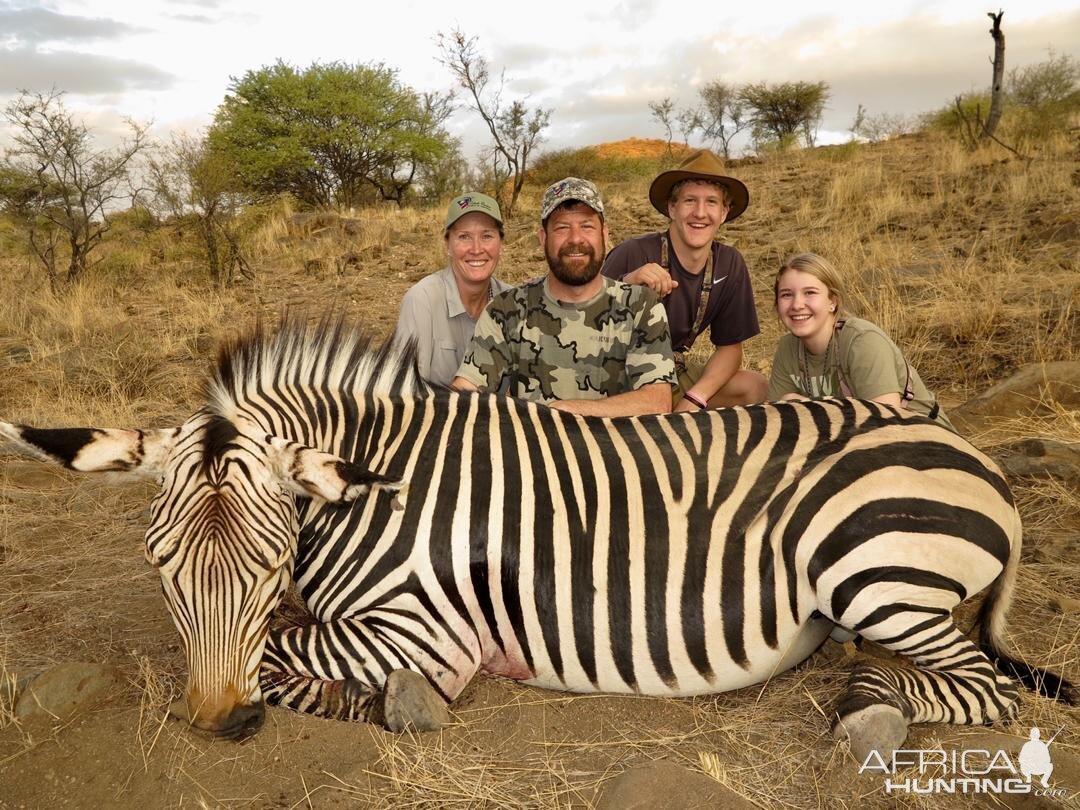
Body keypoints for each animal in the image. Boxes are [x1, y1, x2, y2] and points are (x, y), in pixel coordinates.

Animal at [2, 317, 1071, 760]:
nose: (221, 726)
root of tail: (966, 450)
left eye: (268, 562)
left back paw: (870, 711)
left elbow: (281, 653)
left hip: (868, 568)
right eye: (162, 568)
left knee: (987, 688)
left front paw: (397, 704)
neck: (372, 487)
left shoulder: (425, 629)